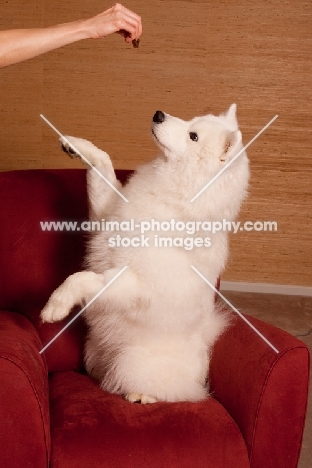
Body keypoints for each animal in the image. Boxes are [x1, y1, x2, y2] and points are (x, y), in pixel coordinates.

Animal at [41, 104, 250, 404]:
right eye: (191, 121)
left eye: (193, 136)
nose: (158, 114)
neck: (175, 199)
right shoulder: (103, 216)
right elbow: (103, 162)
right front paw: (76, 146)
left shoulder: (133, 286)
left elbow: (80, 278)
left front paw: (55, 305)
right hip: (93, 348)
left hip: (134, 362)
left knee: (174, 391)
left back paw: (142, 395)